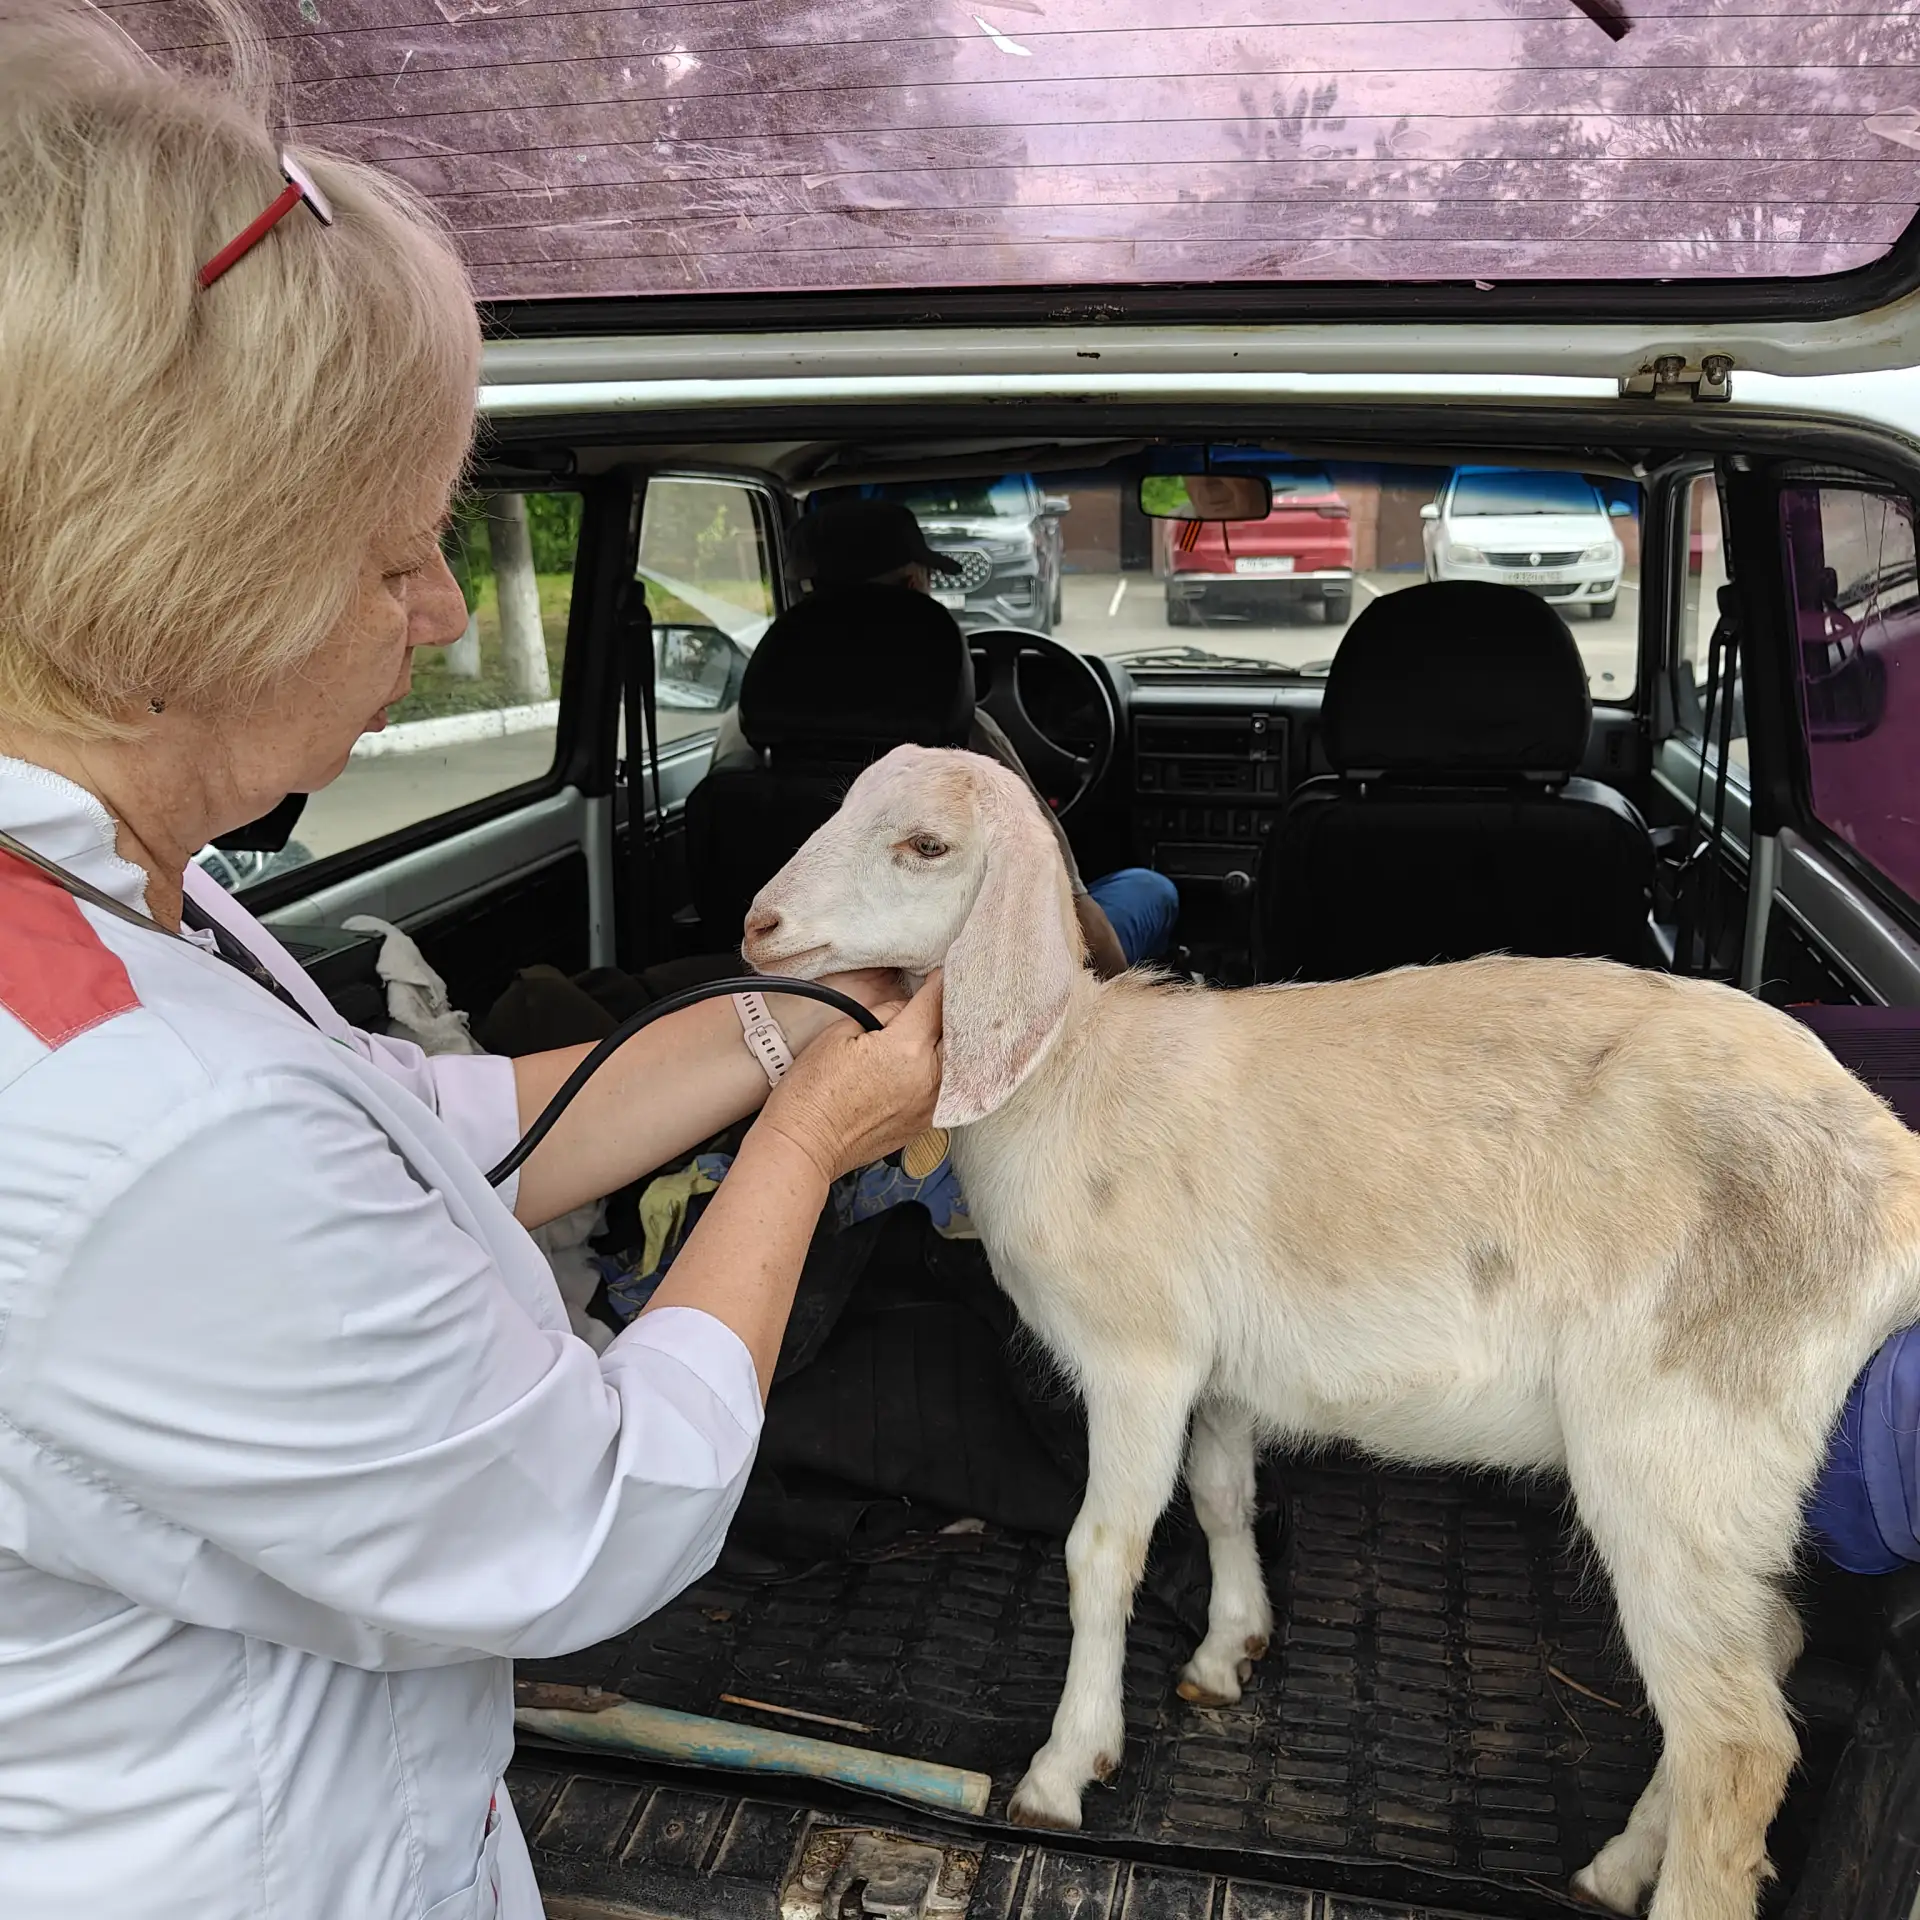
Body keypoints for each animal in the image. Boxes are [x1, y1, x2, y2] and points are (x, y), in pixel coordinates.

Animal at [742, 743, 1920, 1920]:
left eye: (927, 845)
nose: (757, 925)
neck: (1067, 1073)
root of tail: (1890, 1168)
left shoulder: (1138, 1357)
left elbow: (1102, 1552)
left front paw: (1064, 1771)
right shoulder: (1215, 1373)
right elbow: (1222, 1498)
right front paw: (1228, 1649)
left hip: (1677, 1440)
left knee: (1737, 1741)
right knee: (1764, 1656)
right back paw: (1617, 1864)